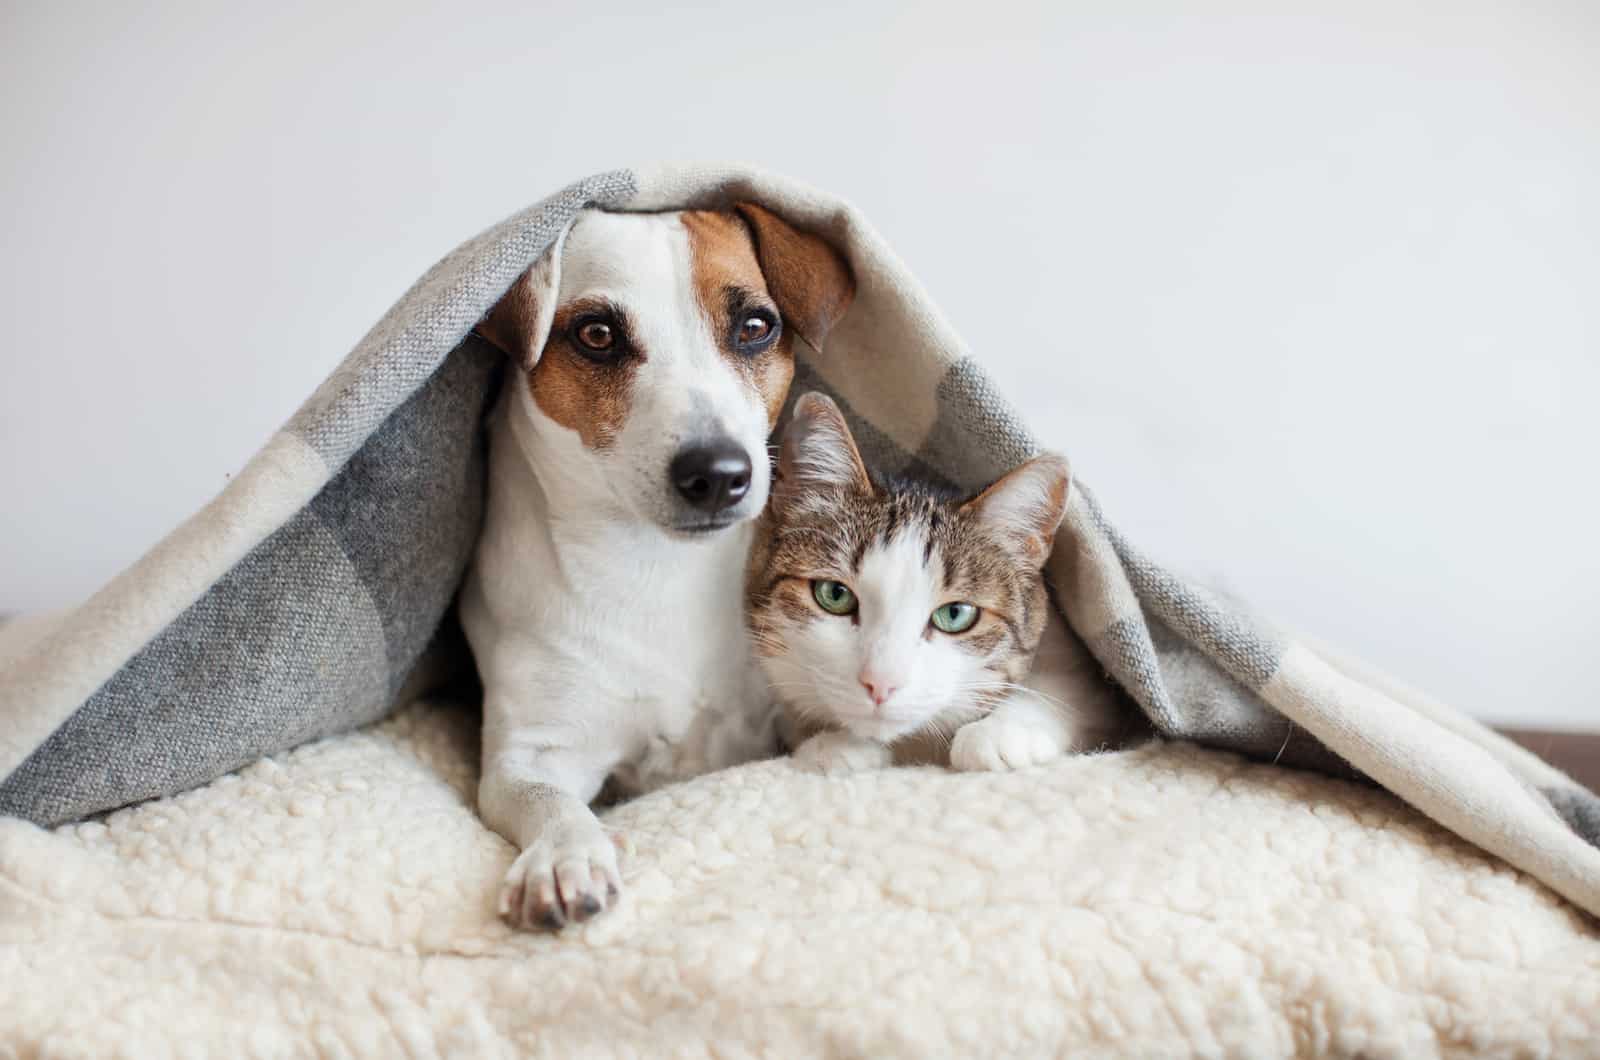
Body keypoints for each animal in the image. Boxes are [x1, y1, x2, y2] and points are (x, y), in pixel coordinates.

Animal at [460, 203, 857, 935]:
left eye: (755, 327)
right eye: (597, 335)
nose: (719, 474)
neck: (657, 568)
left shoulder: (786, 707)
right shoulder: (528, 753)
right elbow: (545, 800)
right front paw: (564, 856)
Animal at [745, 393, 1126, 778]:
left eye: (955, 614)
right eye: (834, 595)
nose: (880, 684)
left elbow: (1067, 689)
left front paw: (998, 732)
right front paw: (835, 744)